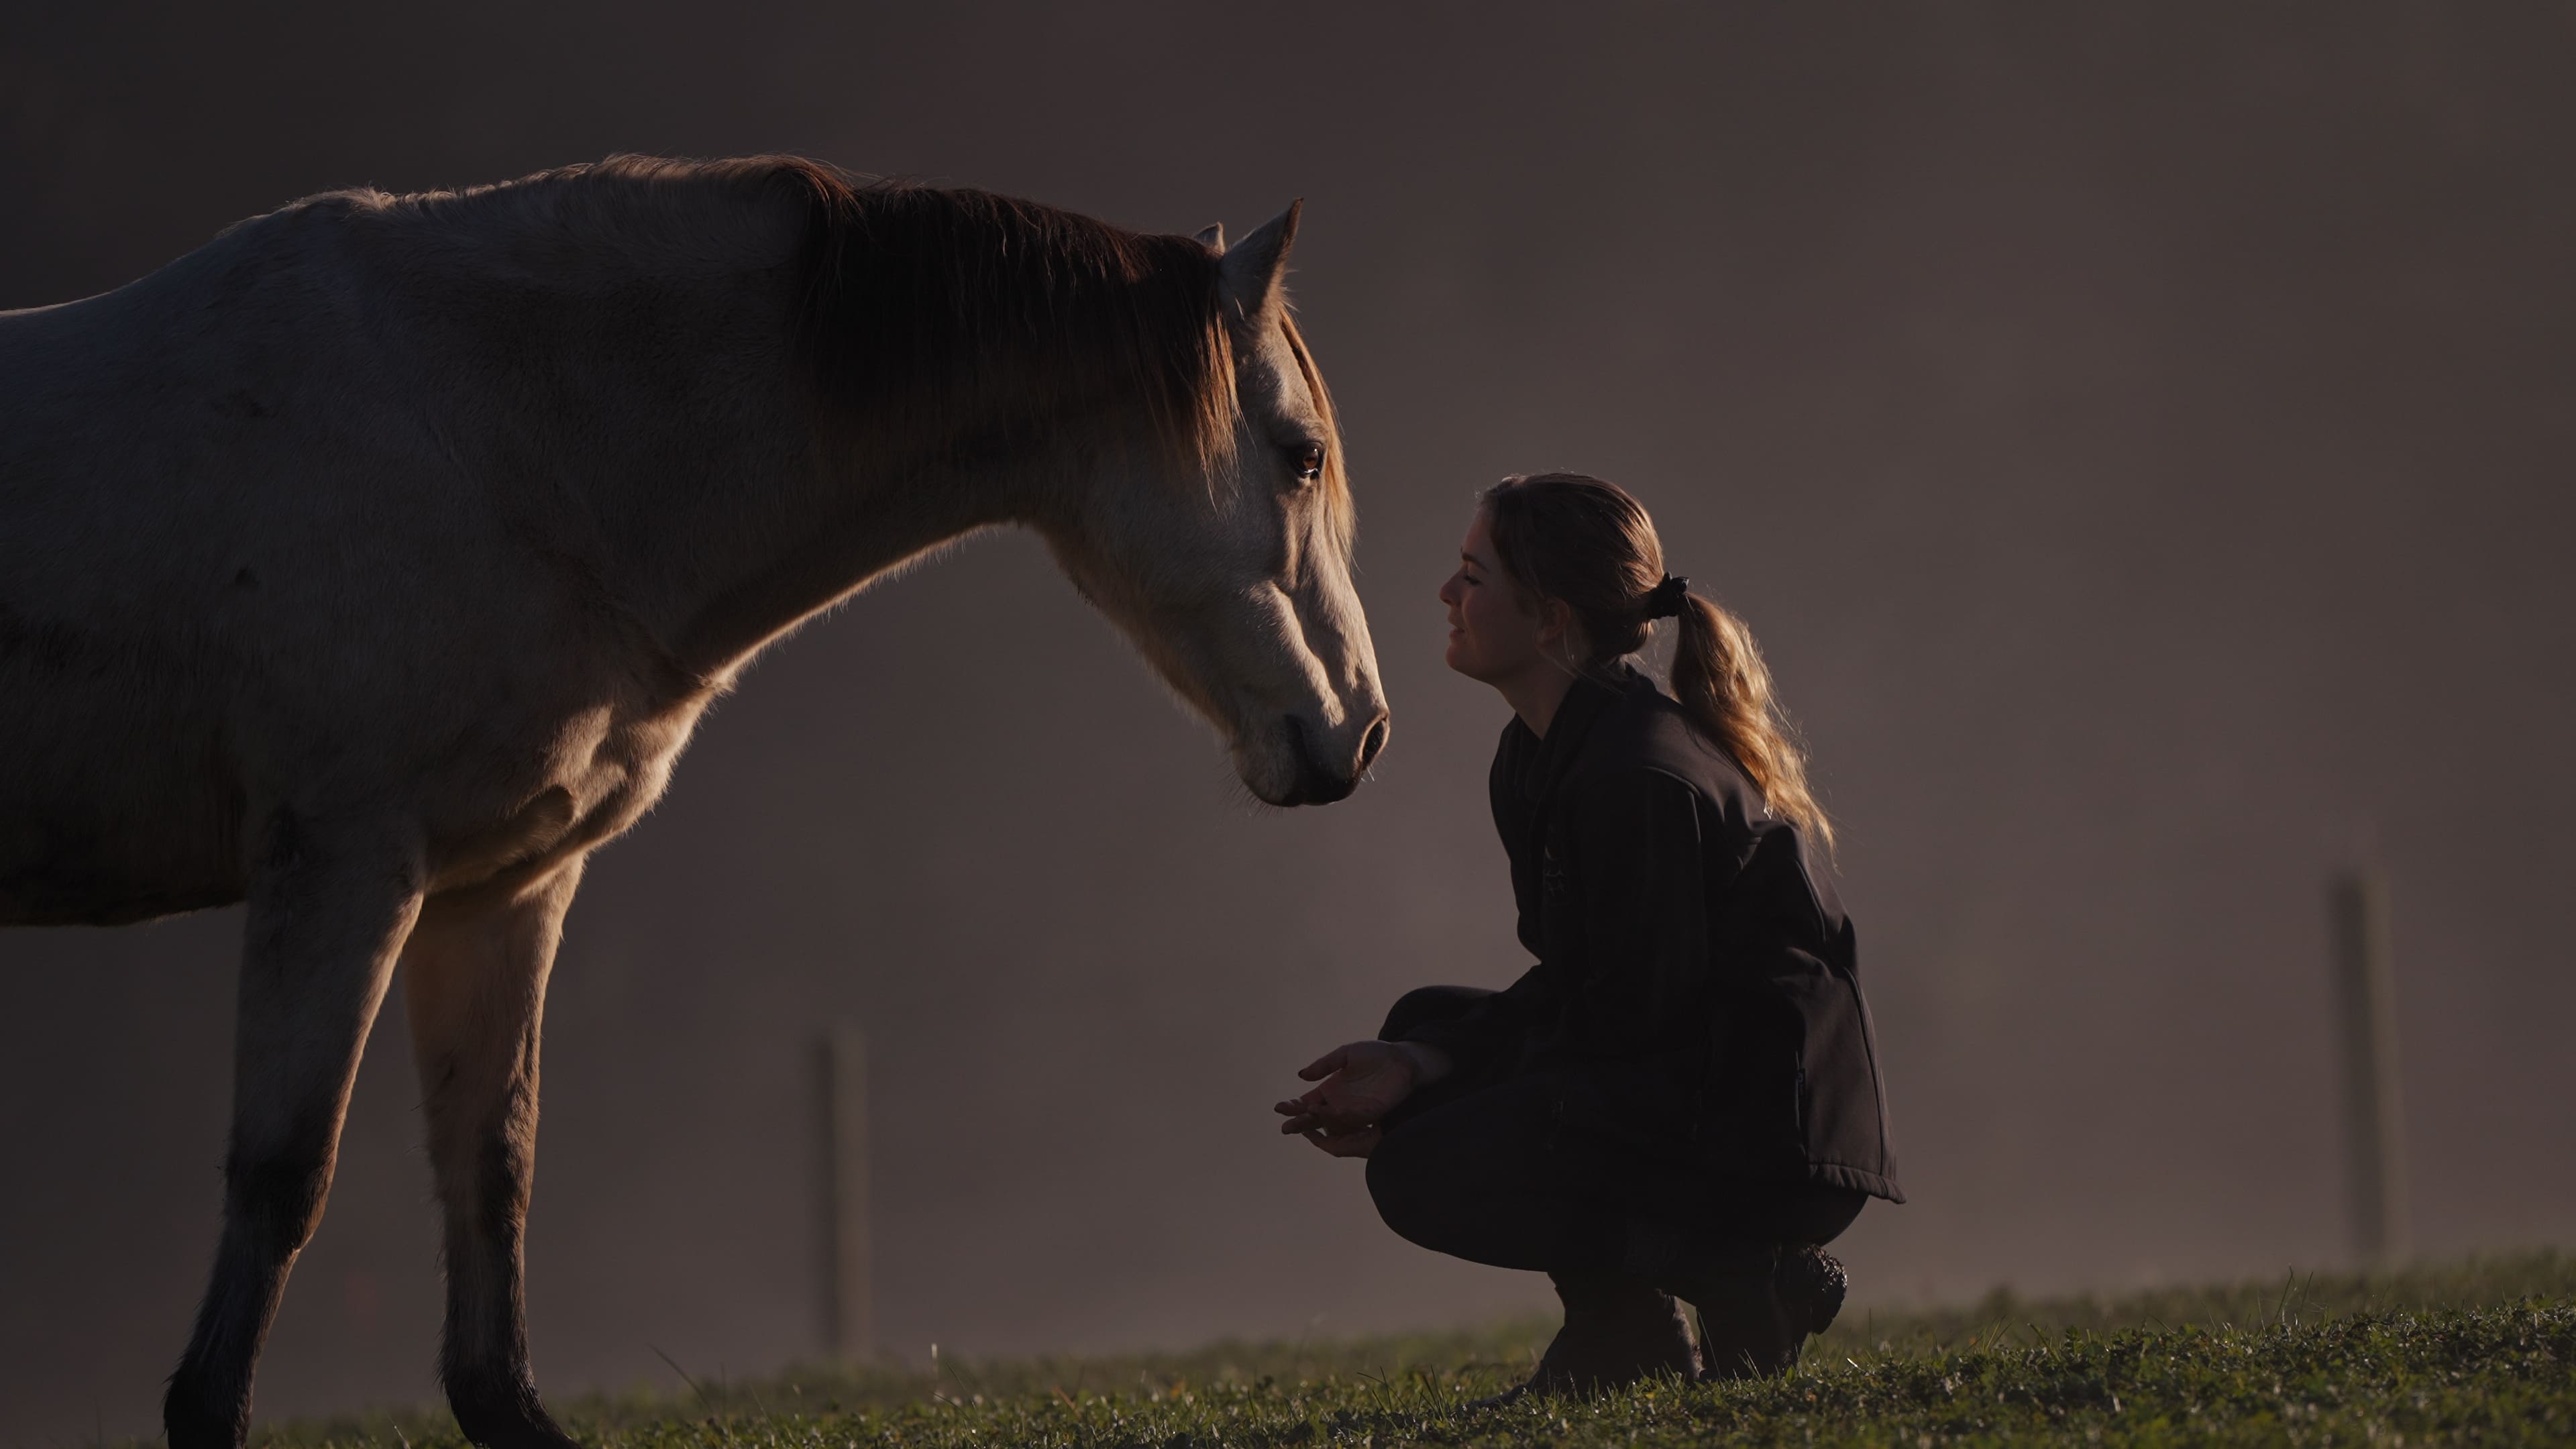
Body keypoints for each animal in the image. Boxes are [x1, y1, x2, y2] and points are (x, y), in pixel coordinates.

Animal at [0, 154, 1388, 1449]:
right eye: (1302, 455)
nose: (1360, 734)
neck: (500, 438)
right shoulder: (340, 865)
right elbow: (286, 1172)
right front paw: (207, 1408)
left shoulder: (499, 889)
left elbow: (493, 1166)